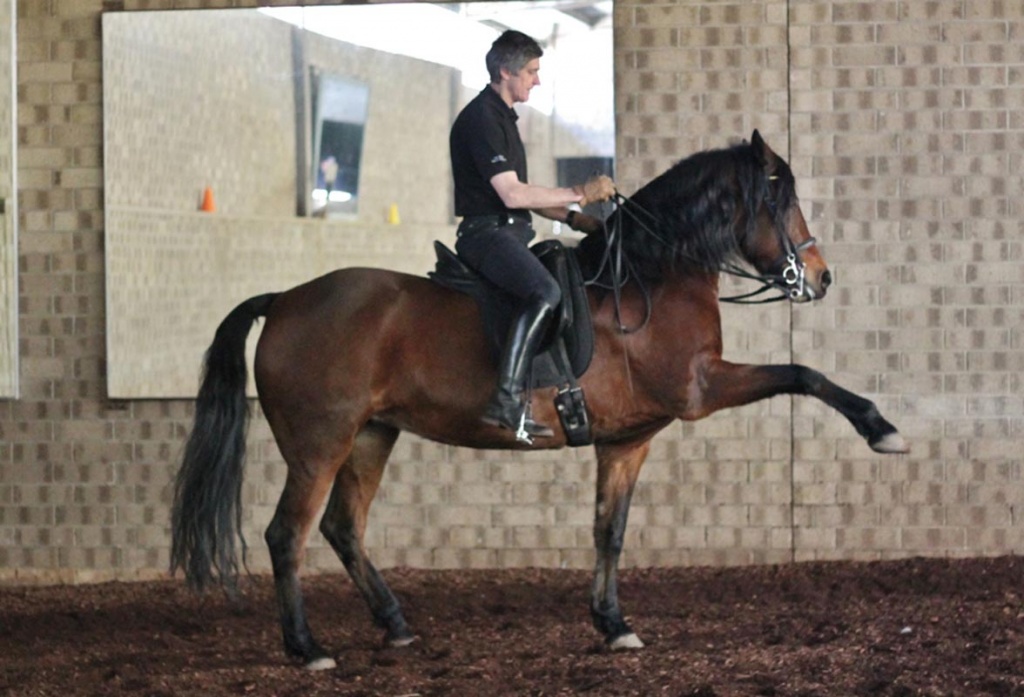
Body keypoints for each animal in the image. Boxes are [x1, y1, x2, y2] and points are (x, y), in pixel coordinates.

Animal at [172, 128, 909, 667]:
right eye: (779, 201)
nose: (820, 277)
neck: (651, 275)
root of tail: (285, 300)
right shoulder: (701, 387)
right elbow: (802, 372)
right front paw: (880, 427)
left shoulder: (628, 438)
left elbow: (609, 531)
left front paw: (613, 623)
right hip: (320, 442)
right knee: (286, 534)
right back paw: (308, 649)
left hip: (372, 435)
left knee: (341, 528)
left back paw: (396, 623)